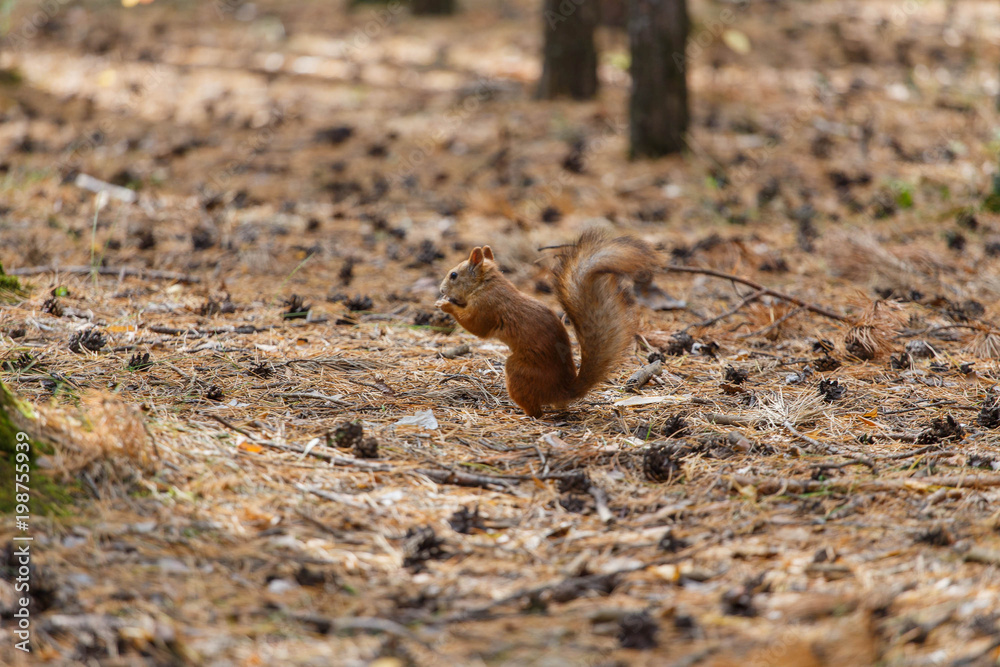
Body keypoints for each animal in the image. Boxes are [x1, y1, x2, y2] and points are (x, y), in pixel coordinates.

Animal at [435, 229, 653, 417]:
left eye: (453, 275)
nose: (441, 289)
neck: (487, 285)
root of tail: (562, 391)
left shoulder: (486, 307)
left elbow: (476, 326)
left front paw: (445, 305)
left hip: (519, 371)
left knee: (535, 410)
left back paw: (520, 413)